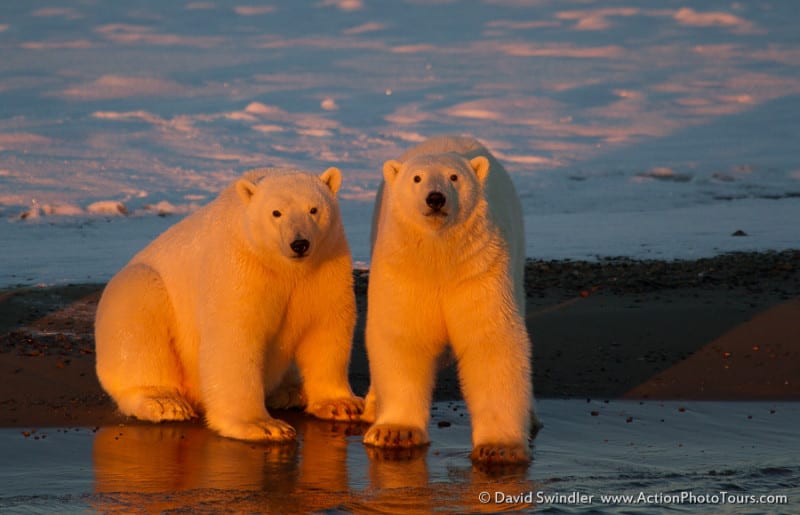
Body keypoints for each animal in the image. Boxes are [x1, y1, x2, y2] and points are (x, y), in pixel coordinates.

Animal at [94, 167, 366, 442]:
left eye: (313, 209)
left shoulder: (325, 264)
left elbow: (326, 326)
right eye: (276, 213)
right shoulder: (239, 265)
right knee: (138, 313)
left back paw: (290, 392)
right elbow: (234, 337)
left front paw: (342, 404)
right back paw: (164, 402)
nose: (299, 243)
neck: (284, 266)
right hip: (136, 295)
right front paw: (263, 425)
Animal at [364, 137, 540, 468]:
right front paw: (394, 431)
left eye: (454, 177)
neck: (440, 257)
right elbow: (403, 337)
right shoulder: (405, 274)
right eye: (417, 178)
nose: (435, 198)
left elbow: (490, 343)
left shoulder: (479, 271)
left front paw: (499, 448)